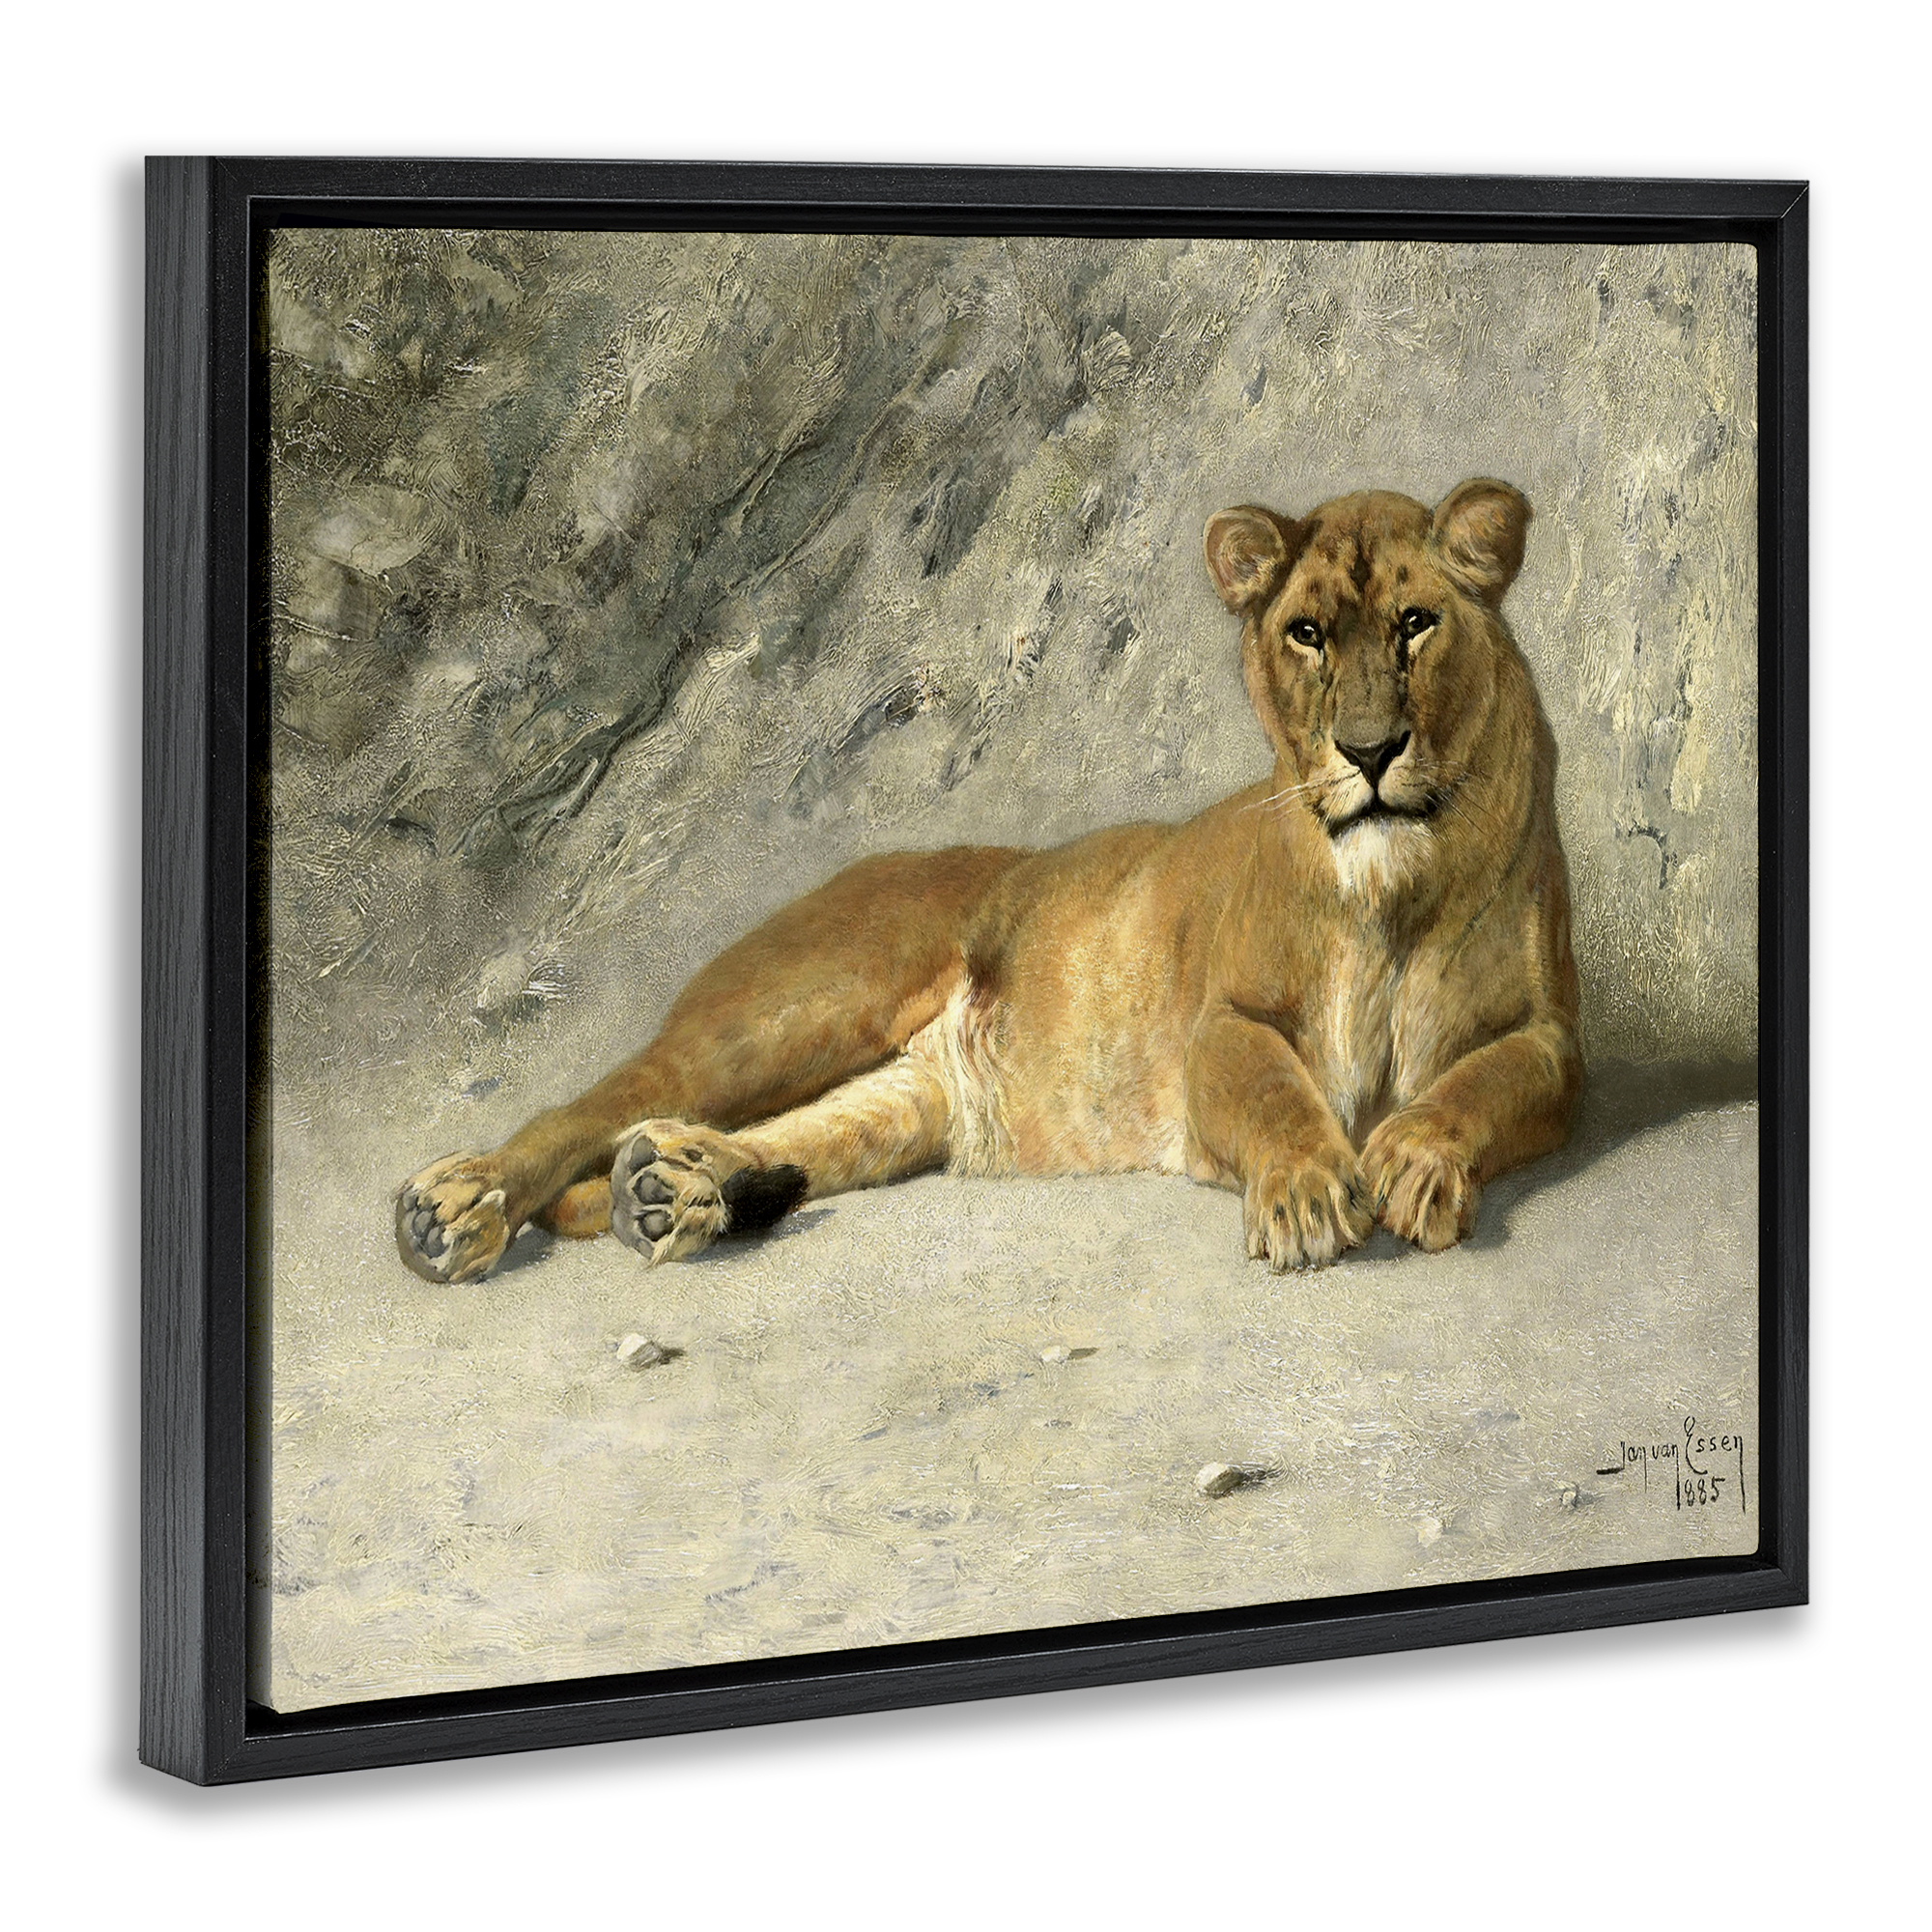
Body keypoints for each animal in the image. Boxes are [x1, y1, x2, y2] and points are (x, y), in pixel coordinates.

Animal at [396, 477, 1582, 1285]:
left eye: (1416, 624)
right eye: (1305, 634)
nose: (1369, 749)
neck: (1390, 892)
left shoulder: (1550, 1037)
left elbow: (1482, 1083)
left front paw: (1415, 1159)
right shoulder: (1220, 1021)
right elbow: (1270, 1085)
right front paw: (1300, 1192)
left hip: (904, 1102)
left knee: (781, 1139)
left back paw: (673, 1189)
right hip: (796, 1009)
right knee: (598, 1103)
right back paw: (456, 1209)